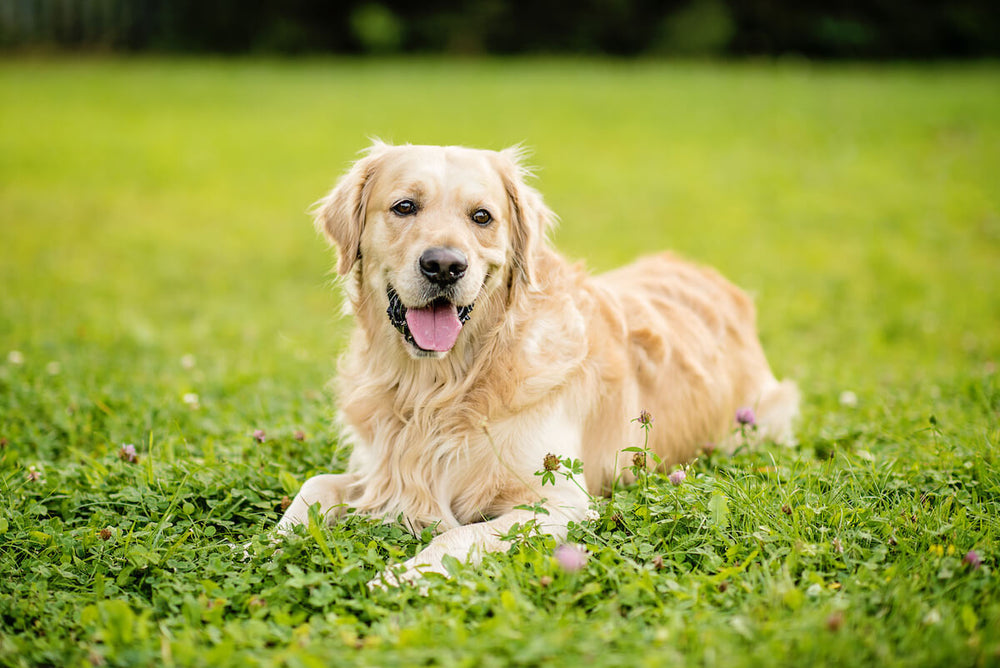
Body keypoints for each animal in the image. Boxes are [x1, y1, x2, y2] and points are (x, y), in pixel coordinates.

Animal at [276, 142, 796, 584]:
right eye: (404, 207)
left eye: (481, 216)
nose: (444, 266)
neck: (439, 386)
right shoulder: (380, 470)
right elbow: (315, 485)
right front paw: (272, 543)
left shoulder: (562, 503)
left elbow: (456, 534)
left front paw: (401, 577)